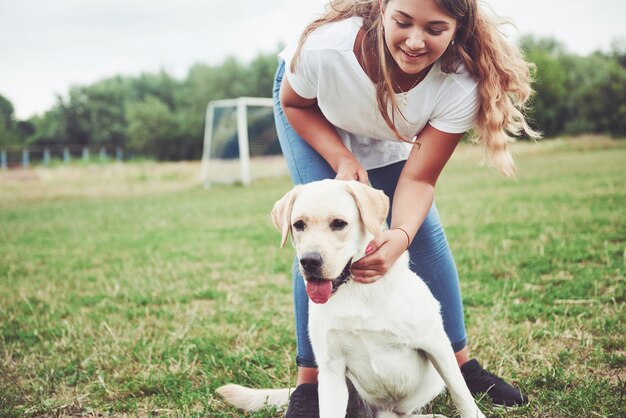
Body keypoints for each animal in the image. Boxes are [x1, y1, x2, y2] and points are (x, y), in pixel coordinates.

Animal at [217, 180, 486, 418]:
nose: (309, 261)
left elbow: (461, 393)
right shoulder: (331, 367)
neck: (354, 291)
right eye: (299, 224)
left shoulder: (435, 343)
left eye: (339, 223)